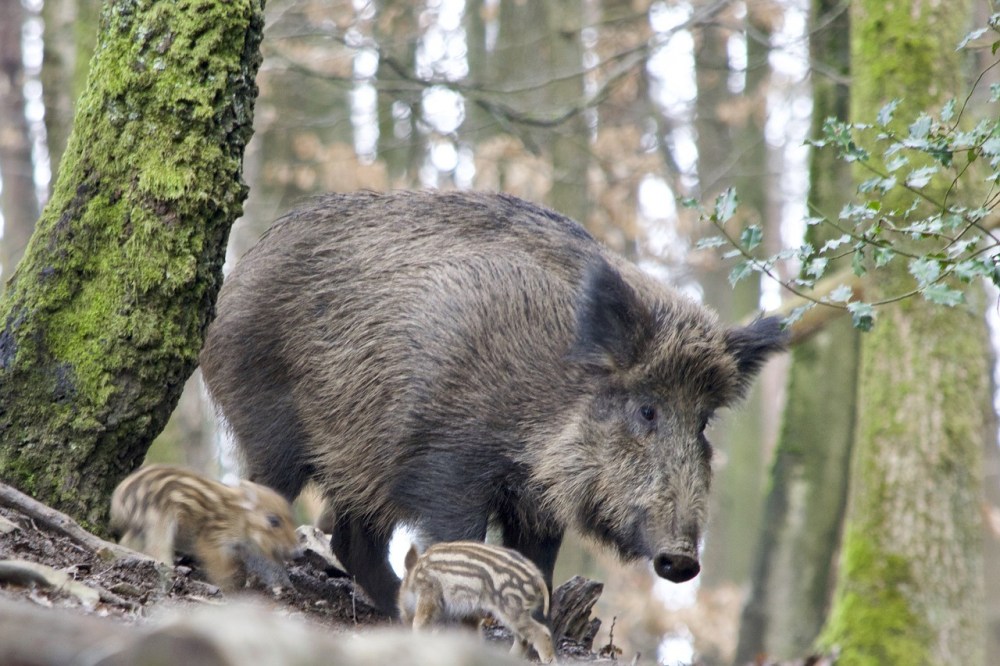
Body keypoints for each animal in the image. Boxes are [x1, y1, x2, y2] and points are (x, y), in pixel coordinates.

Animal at [110, 464, 300, 590]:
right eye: (274, 521)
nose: (298, 552)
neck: (239, 518)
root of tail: (119, 496)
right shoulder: (210, 539)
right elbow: (219, 567)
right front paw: (229, 586)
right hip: (159, 519)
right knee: (156, 549)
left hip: (138, 527)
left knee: (127, 542)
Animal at [199, 190, 786, 615]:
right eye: (646, 409)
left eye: (704, 422)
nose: (683, 560)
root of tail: (237, 275)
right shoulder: (447, 463)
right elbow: (463, 544)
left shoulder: (539, 503)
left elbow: (538, 569)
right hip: (271, 422)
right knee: (263, 497)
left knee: (351, 539)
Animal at [399, 541, 555, 663]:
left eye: (400, 591)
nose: (403, 619)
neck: (415, 576)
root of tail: (537, 578)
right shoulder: (468, 615)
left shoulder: (429, 592)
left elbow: (419, 623)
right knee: (523, 639)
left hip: (511, 608)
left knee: (541, 632)